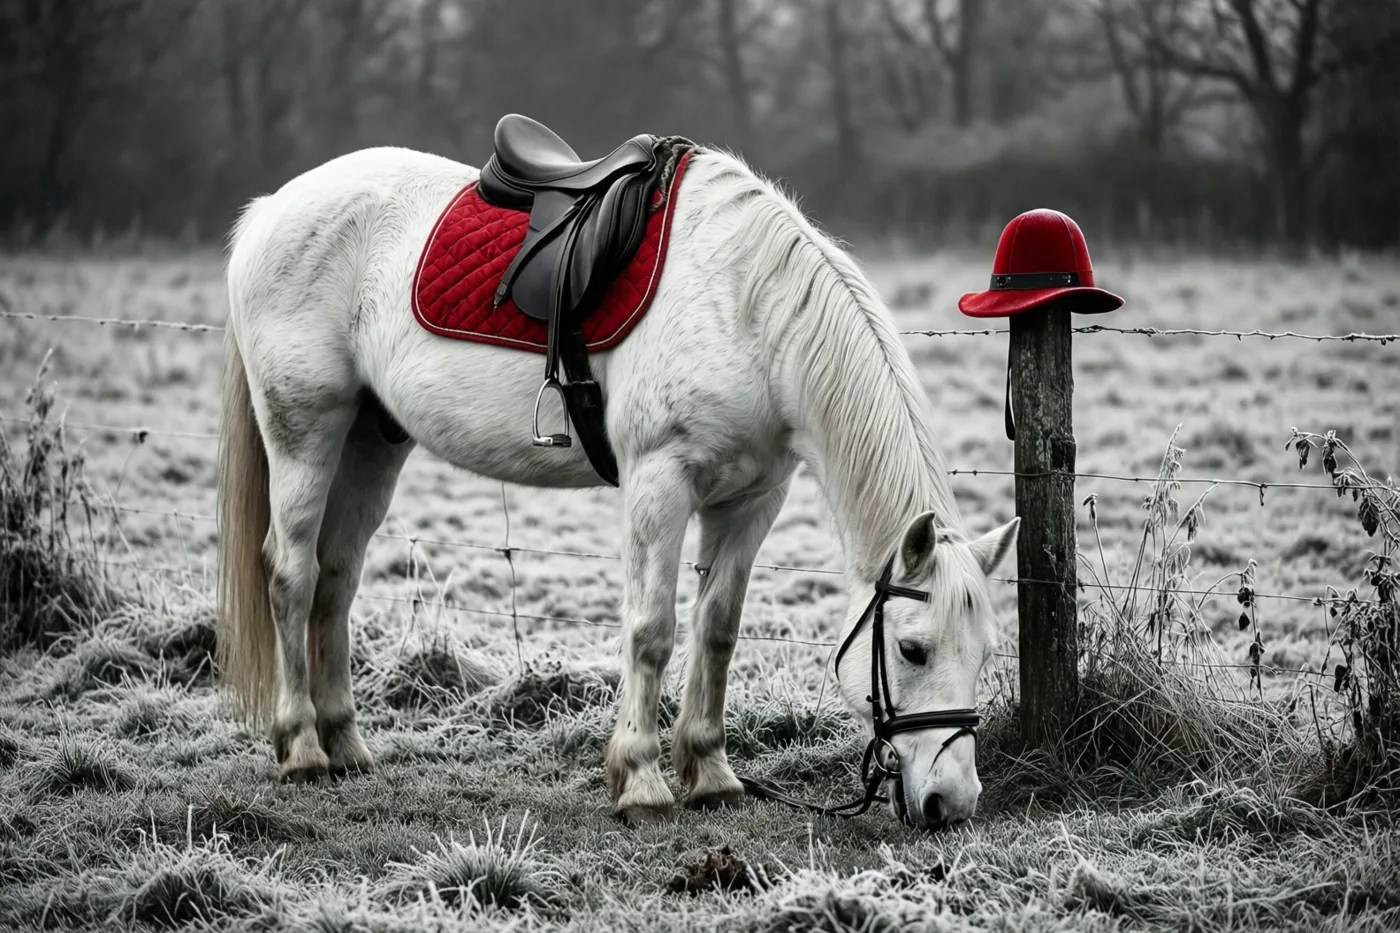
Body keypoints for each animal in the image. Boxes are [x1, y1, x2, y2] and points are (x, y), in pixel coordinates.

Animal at [217, 142, 1019, 831]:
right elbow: (652, 630)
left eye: (985, 652)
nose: (952, 802)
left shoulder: (752, 500)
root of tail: (273, 208)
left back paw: (346, 745)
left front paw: (711, 774)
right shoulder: (660, 483)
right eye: (912, 650)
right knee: (291, 574)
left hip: (370, 443)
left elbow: (717, 630)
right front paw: (642, 781)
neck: (747, 309)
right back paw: (302, 748)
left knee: (336, 579)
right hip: (305, 432)